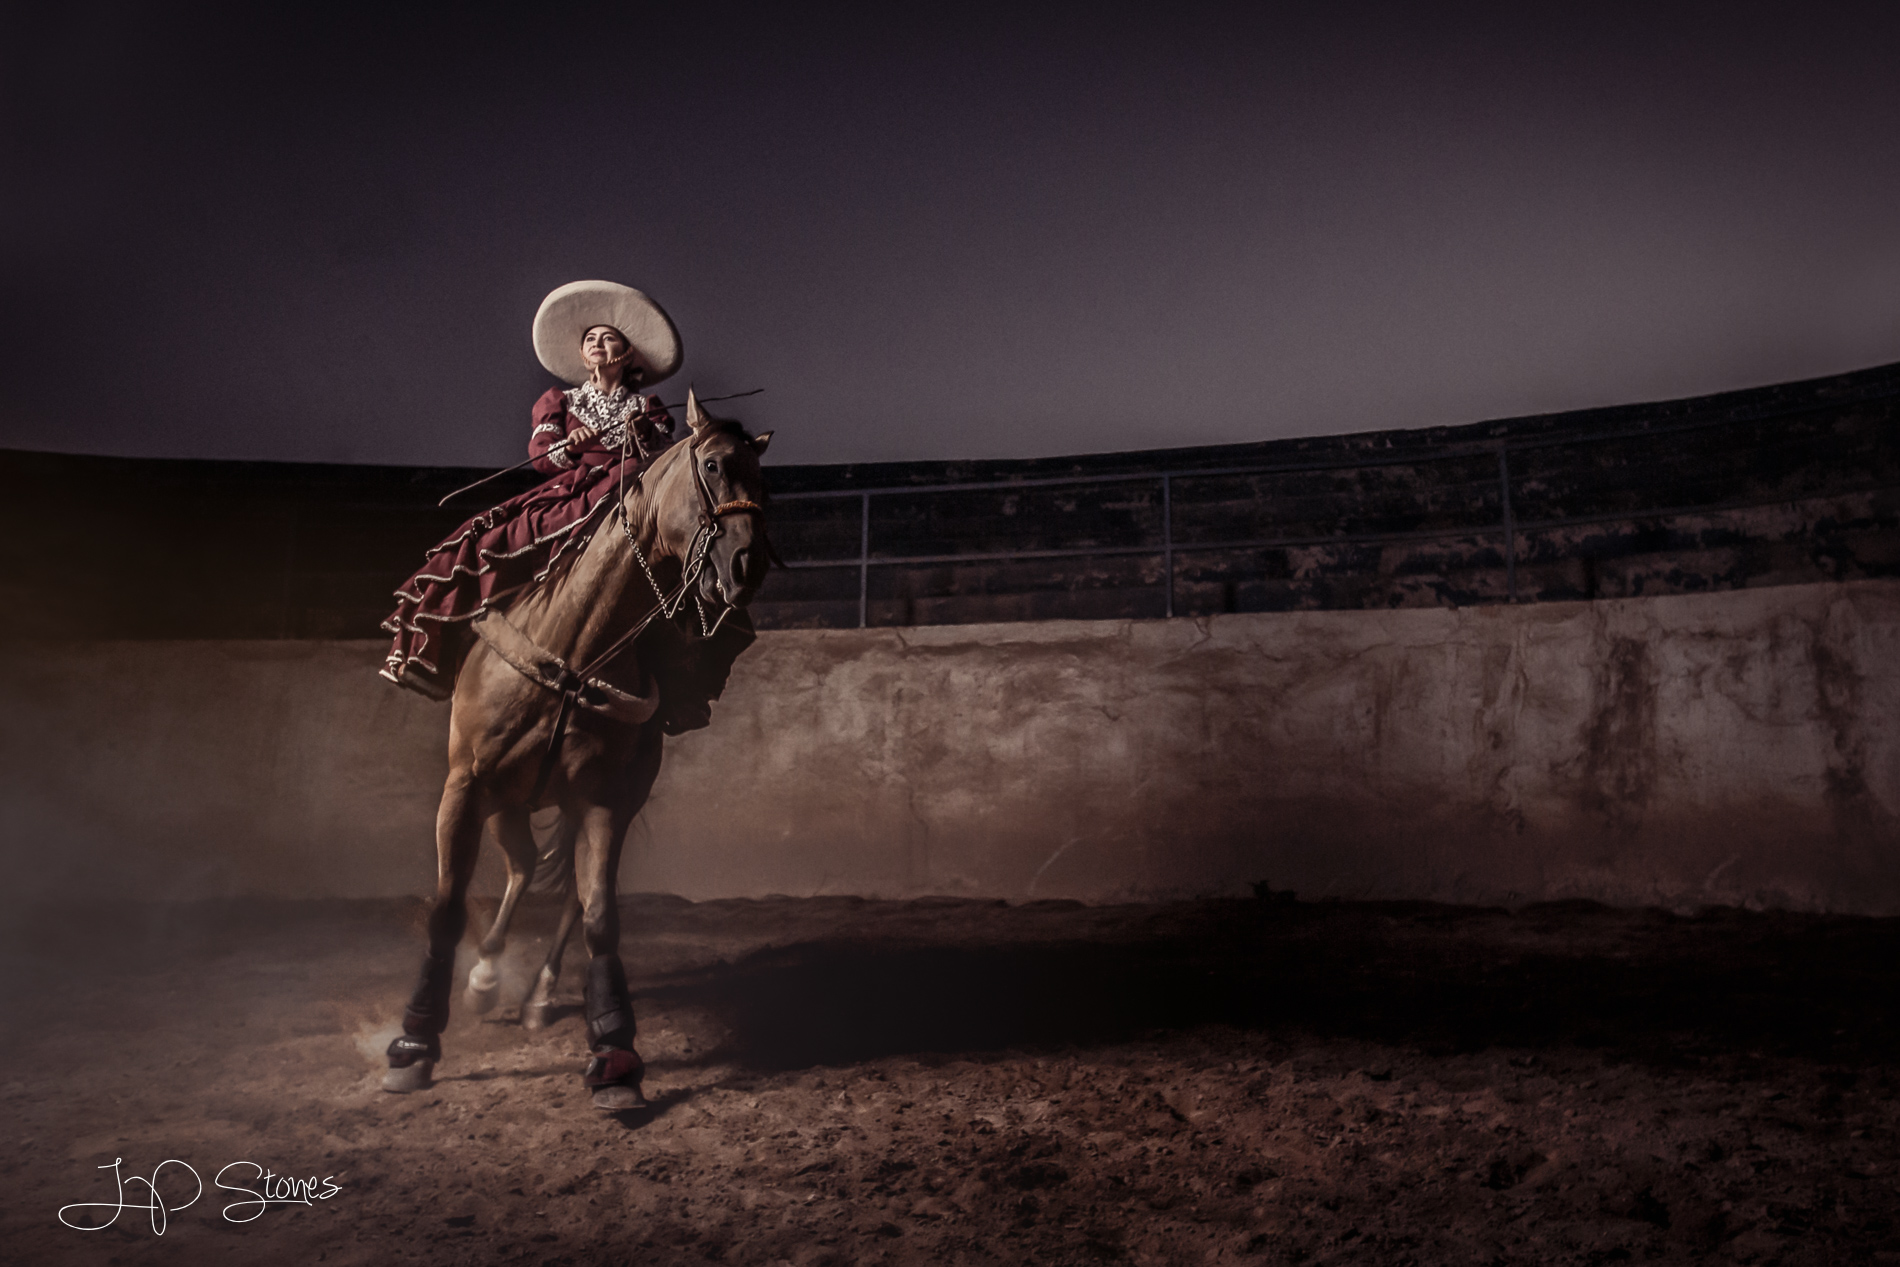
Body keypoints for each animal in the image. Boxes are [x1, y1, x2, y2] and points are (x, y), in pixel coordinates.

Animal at [381, 393, 767, 1109]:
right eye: (713, 465)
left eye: (764, 476)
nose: (746, 567)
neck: (574, 649)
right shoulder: (466, 787)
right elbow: (446, 909)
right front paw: (414, 1044)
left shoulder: (603, 801)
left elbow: (599, 919)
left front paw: (615, 1051)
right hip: (506, 803)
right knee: (523, 866)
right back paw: (484, 980)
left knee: (563, 891)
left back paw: (533, 994)